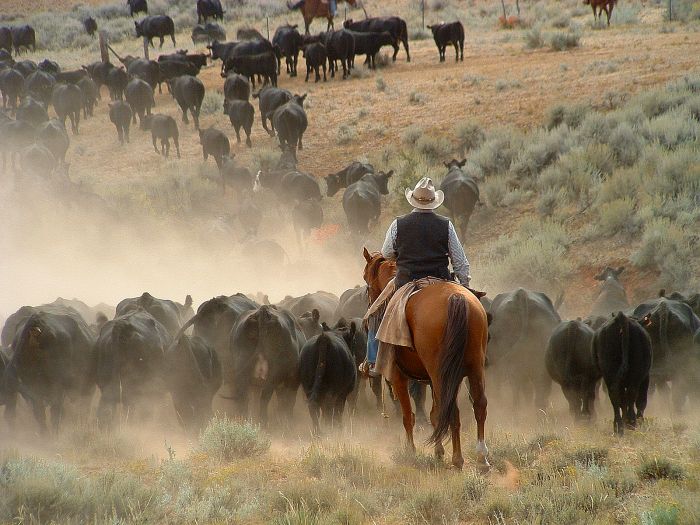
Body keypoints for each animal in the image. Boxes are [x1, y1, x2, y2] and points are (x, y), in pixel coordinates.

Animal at [364, 248, 490, 468]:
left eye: (366, 279)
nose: (371, 302)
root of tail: (455, 298)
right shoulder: (433, 380)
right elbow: (434, 414)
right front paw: (438, 451)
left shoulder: (398, 377)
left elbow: (408, 415)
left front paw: (411, 451)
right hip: (473, 368)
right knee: (478, 404)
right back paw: (481, 457)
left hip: (441, 374)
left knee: (452, 411)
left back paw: (458, 459)